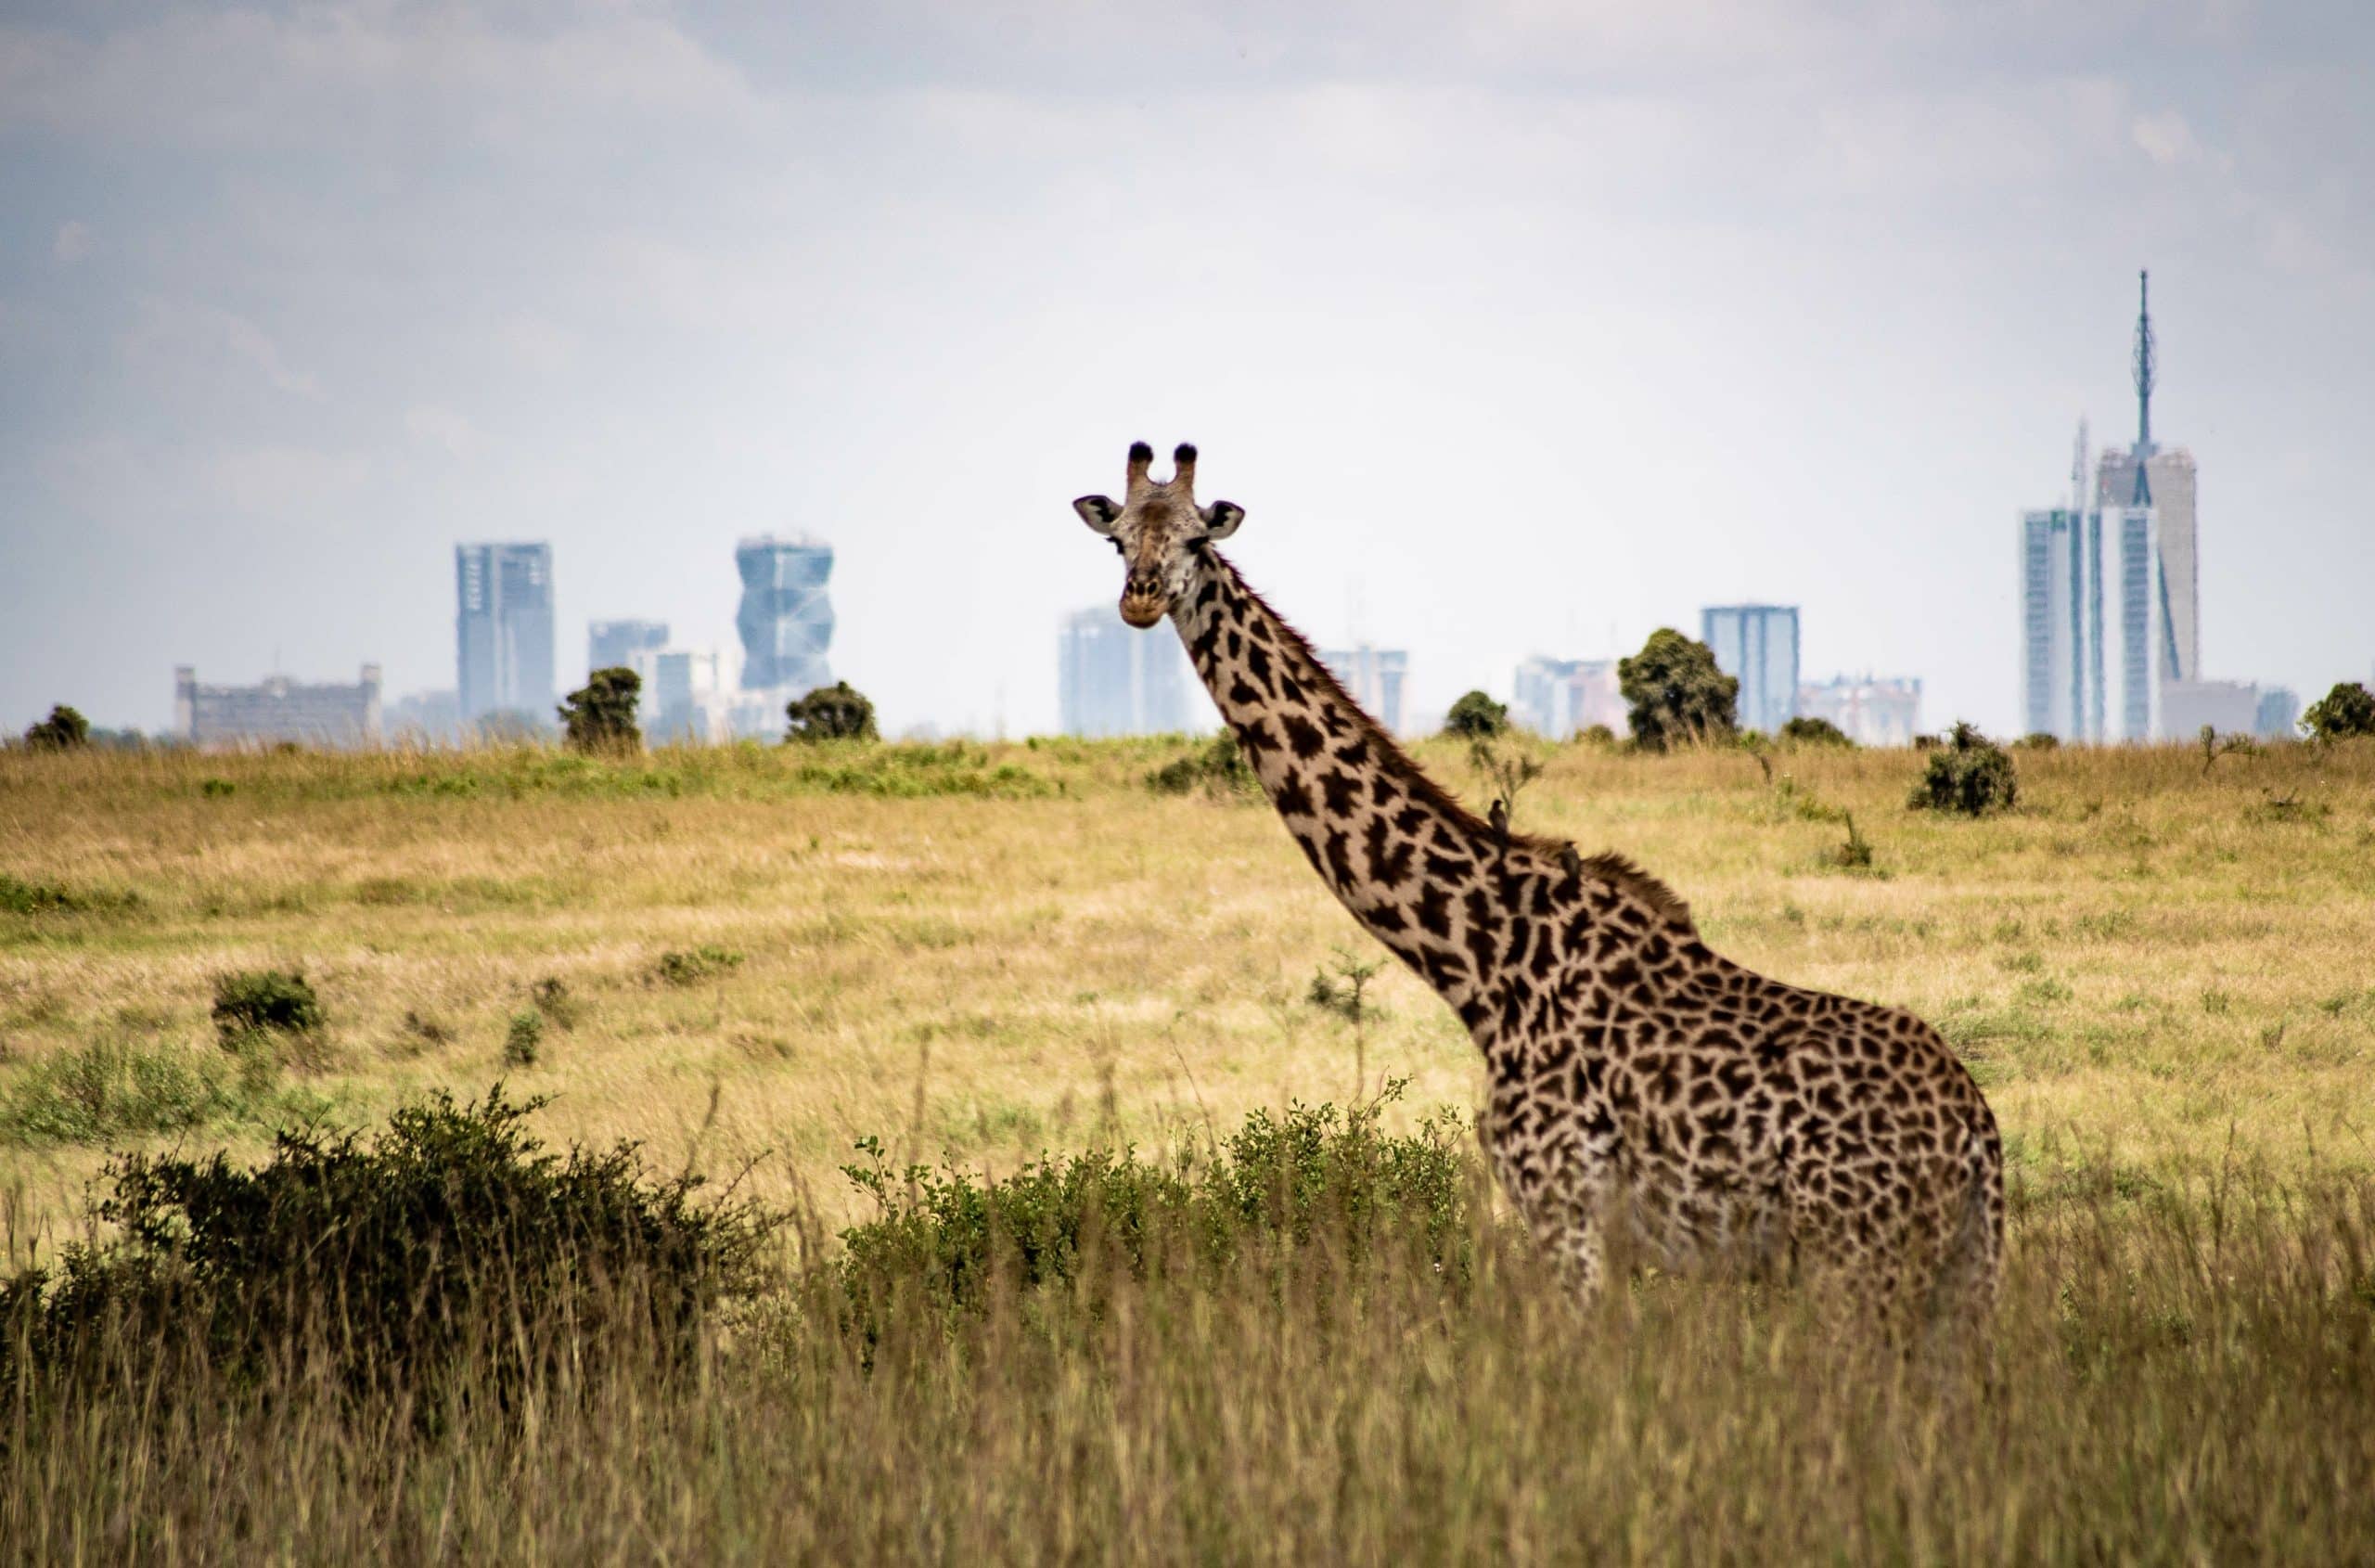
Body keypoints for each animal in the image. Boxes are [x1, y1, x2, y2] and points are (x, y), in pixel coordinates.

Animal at [1078, 437, 2004, 1320]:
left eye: (1198, 537)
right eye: (1118, 538)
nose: (1141, 597)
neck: (1483, 959)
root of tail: (1977, 1133)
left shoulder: (1564, 1204)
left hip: (1854, 1257)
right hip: (1953, 1271)